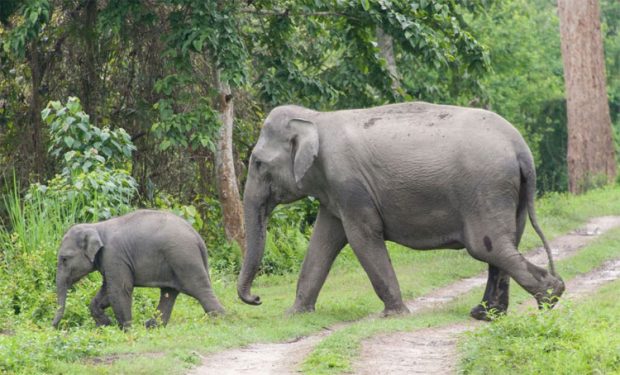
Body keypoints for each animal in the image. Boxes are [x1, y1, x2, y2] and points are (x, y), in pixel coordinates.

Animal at [51, 210, 225, 330]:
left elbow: (119, 289)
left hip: (184, 258)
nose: (53, 327)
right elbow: (107, 290)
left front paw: (126, 330)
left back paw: (220, 320)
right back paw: (151, 326)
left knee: (199, 289)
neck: (96, 227)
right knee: (169, 293)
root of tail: (198, 237)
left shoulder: (114, 255)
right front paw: (105, 325)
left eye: (64, 259)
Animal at [239, 103, 568, 320]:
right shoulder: (335, 193)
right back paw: (485, 314)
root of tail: (521, 149)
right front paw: (294, 313)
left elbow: (361, 239)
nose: (256, 298)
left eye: (258, 163)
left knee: (489, 247)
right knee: (505, 245)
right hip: (509, 194)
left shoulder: (350, 185)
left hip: (486, 188)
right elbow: (324, 242)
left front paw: (394, 315)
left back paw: (551, 296)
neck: (315, 117)